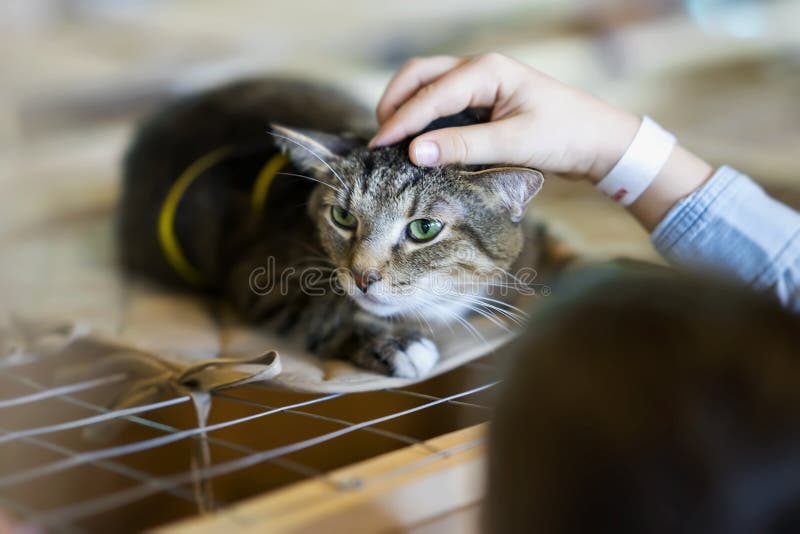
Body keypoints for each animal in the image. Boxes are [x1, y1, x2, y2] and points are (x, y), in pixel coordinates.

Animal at [119, 79, 564, 382]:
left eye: (424, 229)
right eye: (344, 218)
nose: (363, 277)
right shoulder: (260, 275)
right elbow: (323, 312)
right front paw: (393, 341)